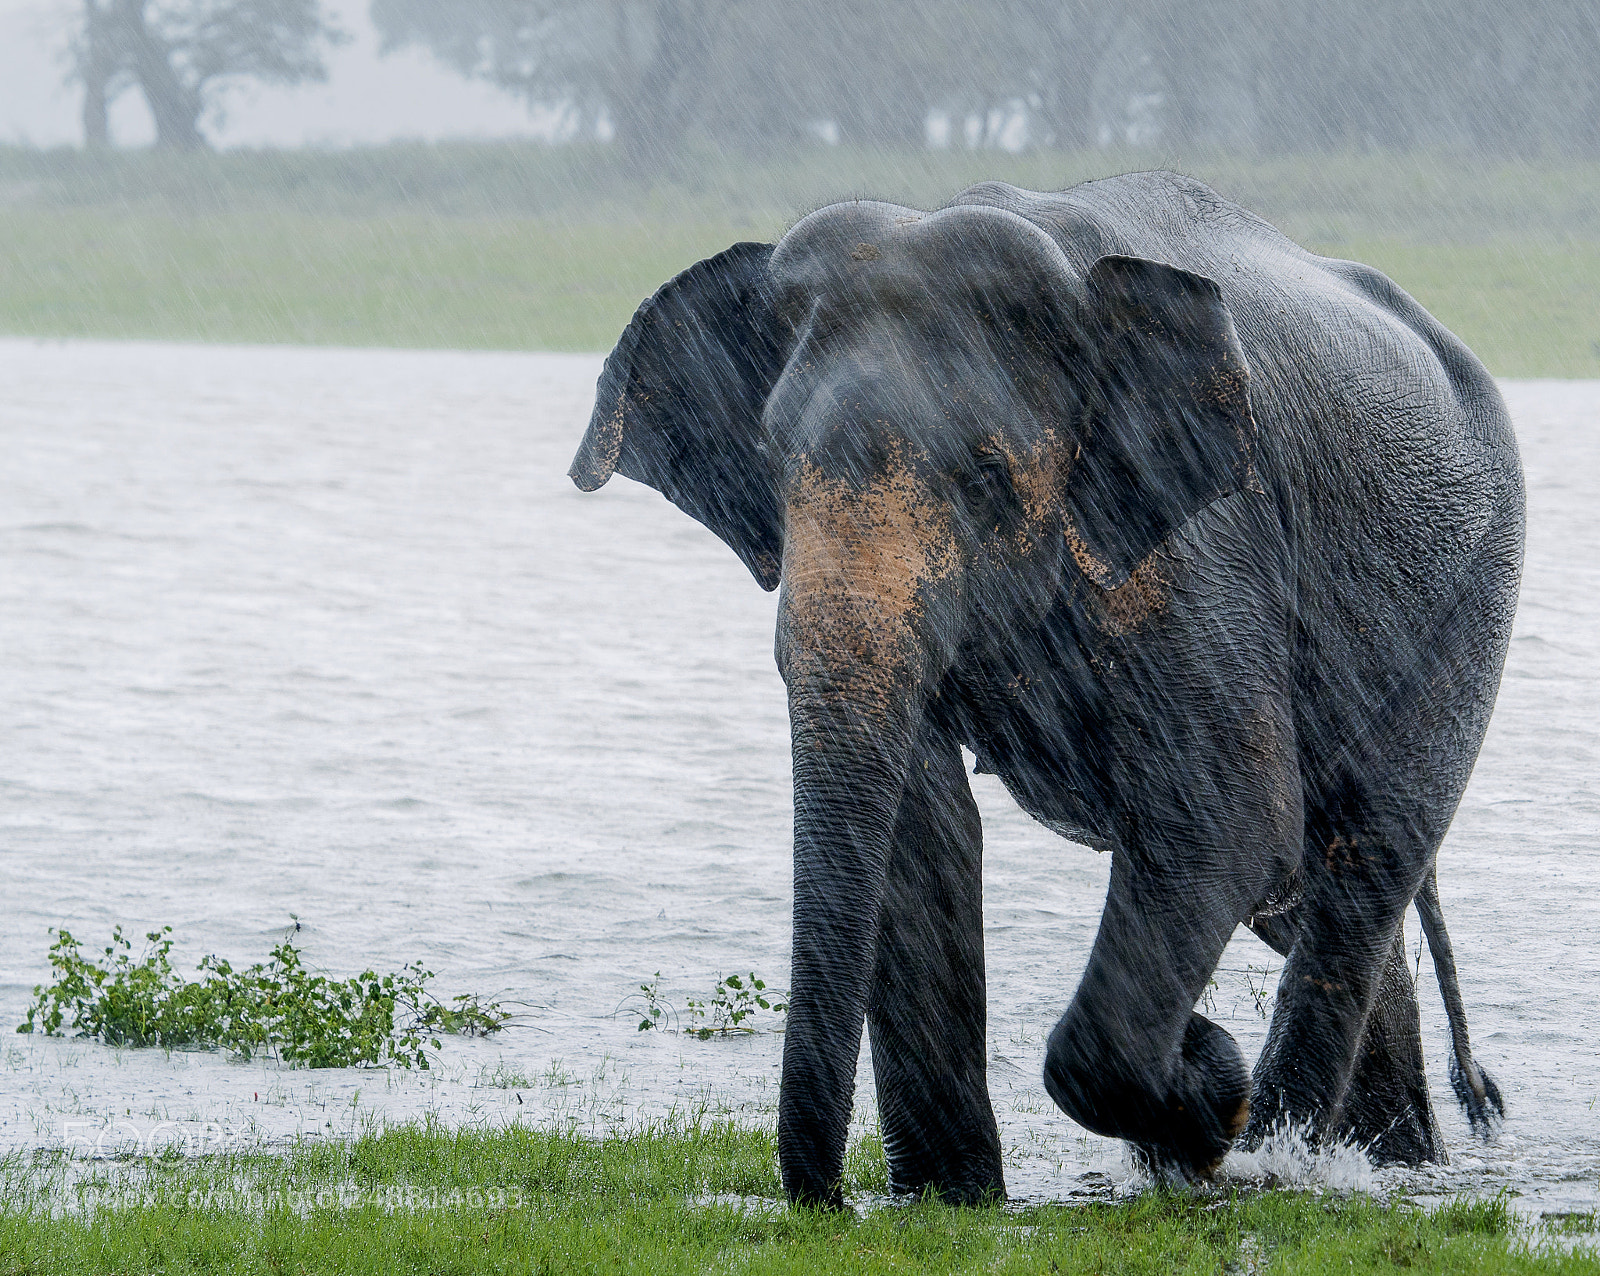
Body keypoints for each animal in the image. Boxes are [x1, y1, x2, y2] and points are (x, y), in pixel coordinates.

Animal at [568, 171, 1521, 1206]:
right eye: (775, 464)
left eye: (988, 476)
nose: (827, 1199)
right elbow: (925, 831)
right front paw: (949, 1198)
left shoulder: (1206, 542)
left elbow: (1225, 818)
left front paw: (1206, 1092)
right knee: (1313, 903)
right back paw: (1389, 1160)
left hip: (1471, 596)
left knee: (1358, 869)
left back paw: (1282, 1158)